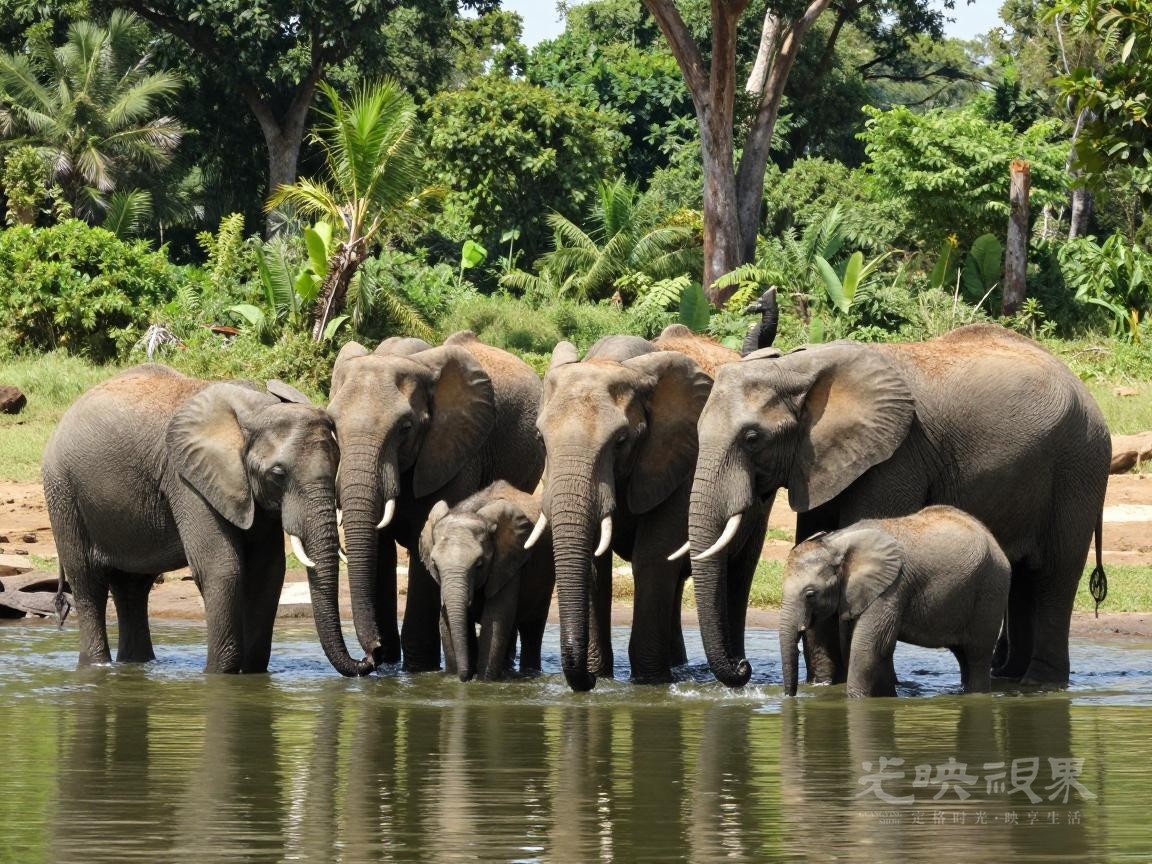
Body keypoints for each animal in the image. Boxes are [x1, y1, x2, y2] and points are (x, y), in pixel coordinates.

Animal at [42, 364, 369, 676]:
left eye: (337, 464)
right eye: (278, 473)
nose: (368, 658)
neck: (255, 410)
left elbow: (267, 571)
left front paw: (251, 673)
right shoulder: (187, 478)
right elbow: (221, 568)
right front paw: (217, 675)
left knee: (132, 588)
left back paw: (136, 666)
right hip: (62, 491)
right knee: (88, 582)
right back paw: (96, 667)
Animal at [327, 330, 544, 672]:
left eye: (405, 428)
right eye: (333, 427)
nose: (369, 656)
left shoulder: (455, 453)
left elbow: (422, 547)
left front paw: (418, 668)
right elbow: (379, 550)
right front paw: (388, 665)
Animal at [419, 480, 555, 681]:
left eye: (479, 564)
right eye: (435, 564)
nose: (465, 677)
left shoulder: (508, 561)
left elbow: (495, 621)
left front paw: (483, 681)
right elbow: (445, 618)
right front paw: (453, 678)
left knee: (532, 628)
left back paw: (529, 672)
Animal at [533, 324, 742, 690]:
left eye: (620, 441)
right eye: (540, 440)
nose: (587, 679)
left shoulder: (684, 458)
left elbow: (653, 556)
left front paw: (648, 682)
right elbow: (595, 562)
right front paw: (600, 675)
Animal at [780, 506, 1011, 697]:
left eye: (810, 594)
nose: (790, 697)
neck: (837, 542)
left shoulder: (892, 587)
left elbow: (868, 647)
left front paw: (856, 701)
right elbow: (867, 646)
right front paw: (886, 698)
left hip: (991, 589)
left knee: (977, 655)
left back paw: (976, 696)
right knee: (963, 655)